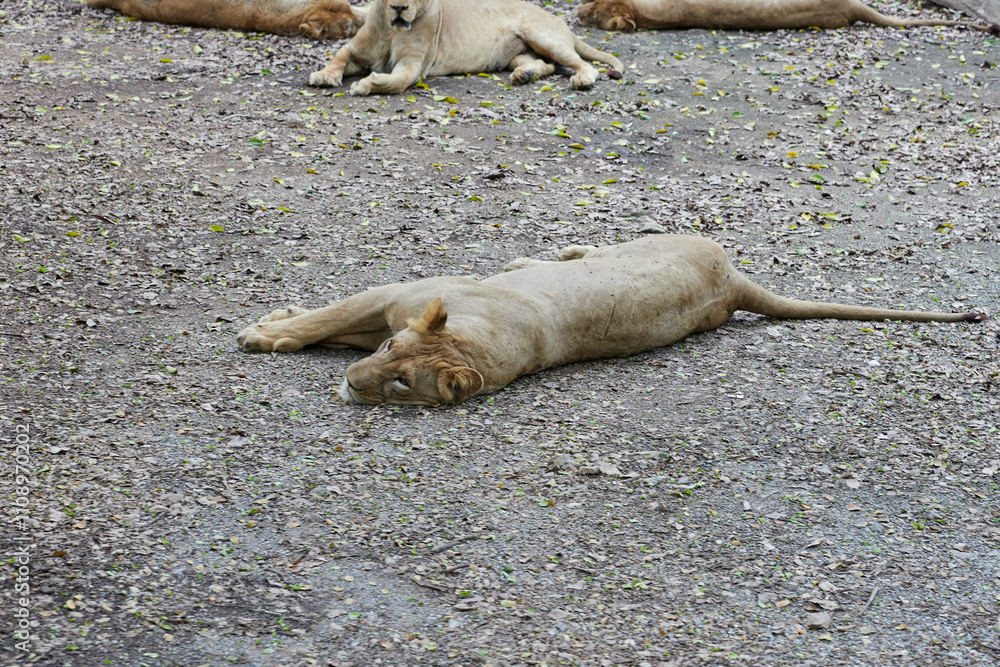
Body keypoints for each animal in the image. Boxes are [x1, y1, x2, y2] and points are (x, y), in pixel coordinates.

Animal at [307, 0, 623, 95]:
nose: (399, 7)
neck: (391, 30)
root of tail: (562, 23)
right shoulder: (356, 50)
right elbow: (338, 56)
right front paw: (324, 76)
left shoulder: (413, 65)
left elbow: (396, 81)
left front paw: (365, 85)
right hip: (519, 53)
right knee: (545, 64)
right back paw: (524, 75)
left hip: (540, 35)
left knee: (583, 64)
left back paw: (582, 79)